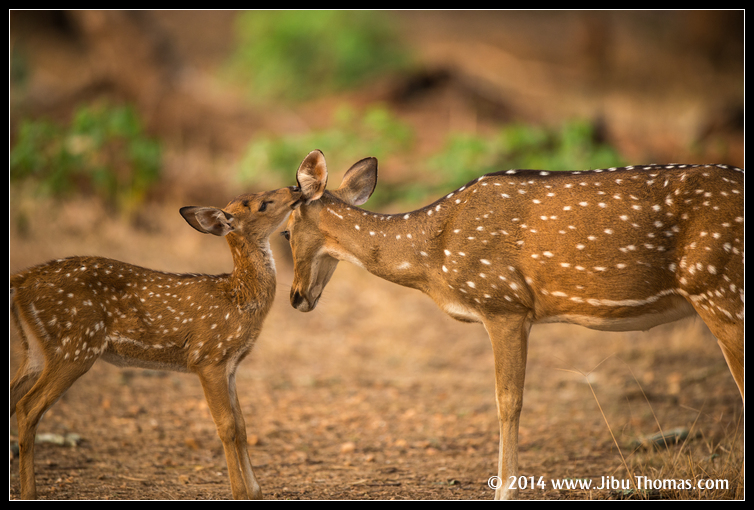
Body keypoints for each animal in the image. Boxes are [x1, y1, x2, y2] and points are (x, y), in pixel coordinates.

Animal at [9, 186, 303, 500]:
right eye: (262, 204)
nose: (295, 188)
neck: (238, 299)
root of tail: (21, 280)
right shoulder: (208, 357)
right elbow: (226, 426)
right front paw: (239, 492)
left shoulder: (231, 365)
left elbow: (243, 425)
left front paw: (255, 490)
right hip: (75, 346)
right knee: (28, 408)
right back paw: (30, 492)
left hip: (38, 349)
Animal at [282, 150, 744, 500]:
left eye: (284, 233)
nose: (296, 297)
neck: (433, 255)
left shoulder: (503, 302)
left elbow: (508, 400)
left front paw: (505, 490)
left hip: (719, 287)